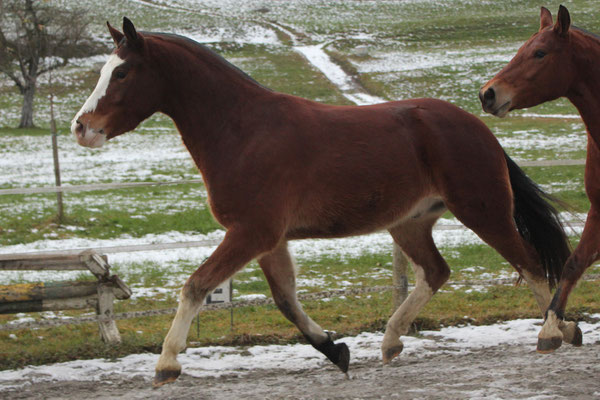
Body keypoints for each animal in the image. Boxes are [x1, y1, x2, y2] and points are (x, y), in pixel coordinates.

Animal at [76, 19, 572, 388]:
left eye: (121, 73)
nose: (82, 128)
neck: (242, 132)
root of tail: (478, 126)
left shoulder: (251, 232)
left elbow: (196, 286)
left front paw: (166, 364)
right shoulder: (268, 239)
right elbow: (285, 300)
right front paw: (336, 350)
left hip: (483, 211)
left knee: (530, 264)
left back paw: (555, 332)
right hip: (410, 223)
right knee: (436, 271)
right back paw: (391, 342)